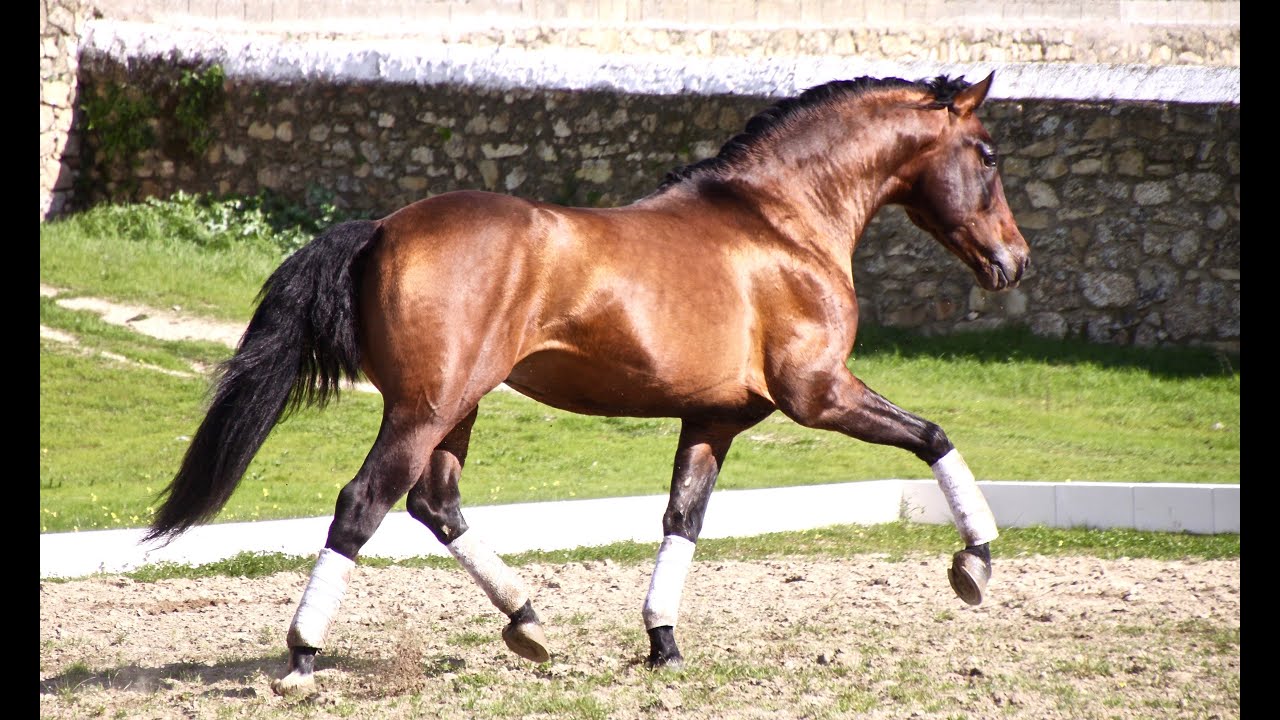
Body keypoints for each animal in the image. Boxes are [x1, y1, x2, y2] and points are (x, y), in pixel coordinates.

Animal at [144, 71, 1029, 696]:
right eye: (987, 157)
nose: (1014, 263)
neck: (780, 224)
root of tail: (384, 229)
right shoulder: (819, 393)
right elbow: (935, 437)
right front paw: (976, 563)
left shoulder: (713, 420)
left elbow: (683, 520)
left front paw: (663, 643)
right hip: (425, 411)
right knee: (364, 504)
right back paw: (302, 656)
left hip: (455, 410)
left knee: (436, 504)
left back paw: (530, 623)